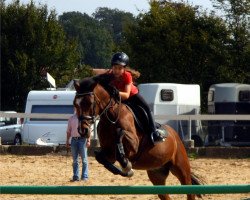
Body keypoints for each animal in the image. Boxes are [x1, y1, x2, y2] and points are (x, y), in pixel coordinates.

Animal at [73, 76, 201, 199]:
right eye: (75, 104)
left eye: (89, 103)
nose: (82, 130)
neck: (111, 117)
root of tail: (176, 136)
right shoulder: (109, 153)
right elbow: (101, 157)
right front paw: (126, 171)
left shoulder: (134, 146)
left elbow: (120, 134)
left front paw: (127, 165)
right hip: (157, 173)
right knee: (164, 194)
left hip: (181, 167)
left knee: (189, 190)